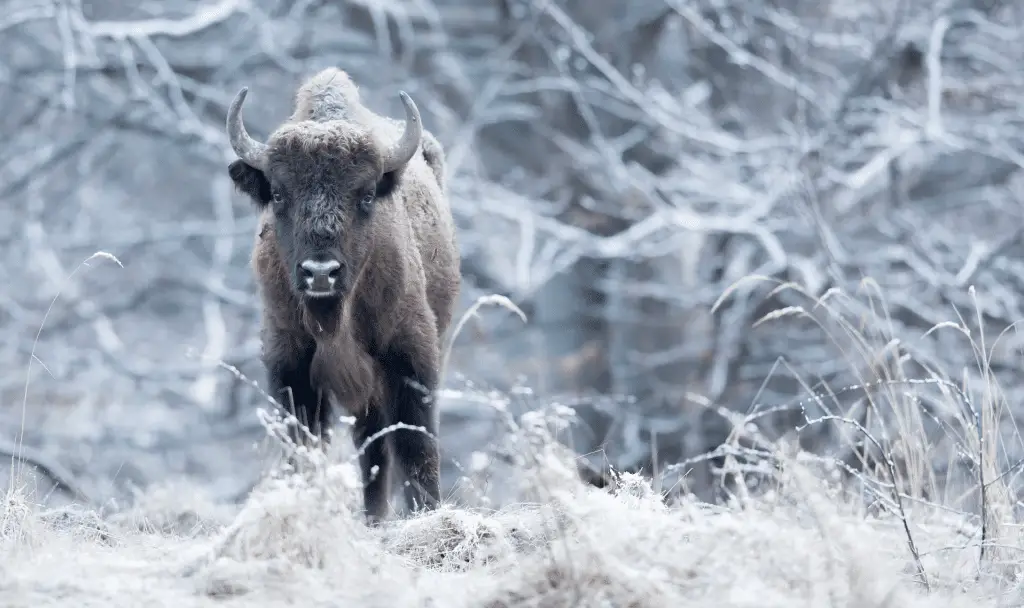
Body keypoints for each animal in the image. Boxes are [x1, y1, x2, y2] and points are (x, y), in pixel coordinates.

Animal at [228, 67, 464, 519]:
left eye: (366, 196)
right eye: (278, 194)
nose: (321, 273)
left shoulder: (410, 357)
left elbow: (415, 445)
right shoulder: (291, 365)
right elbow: (304, 445)